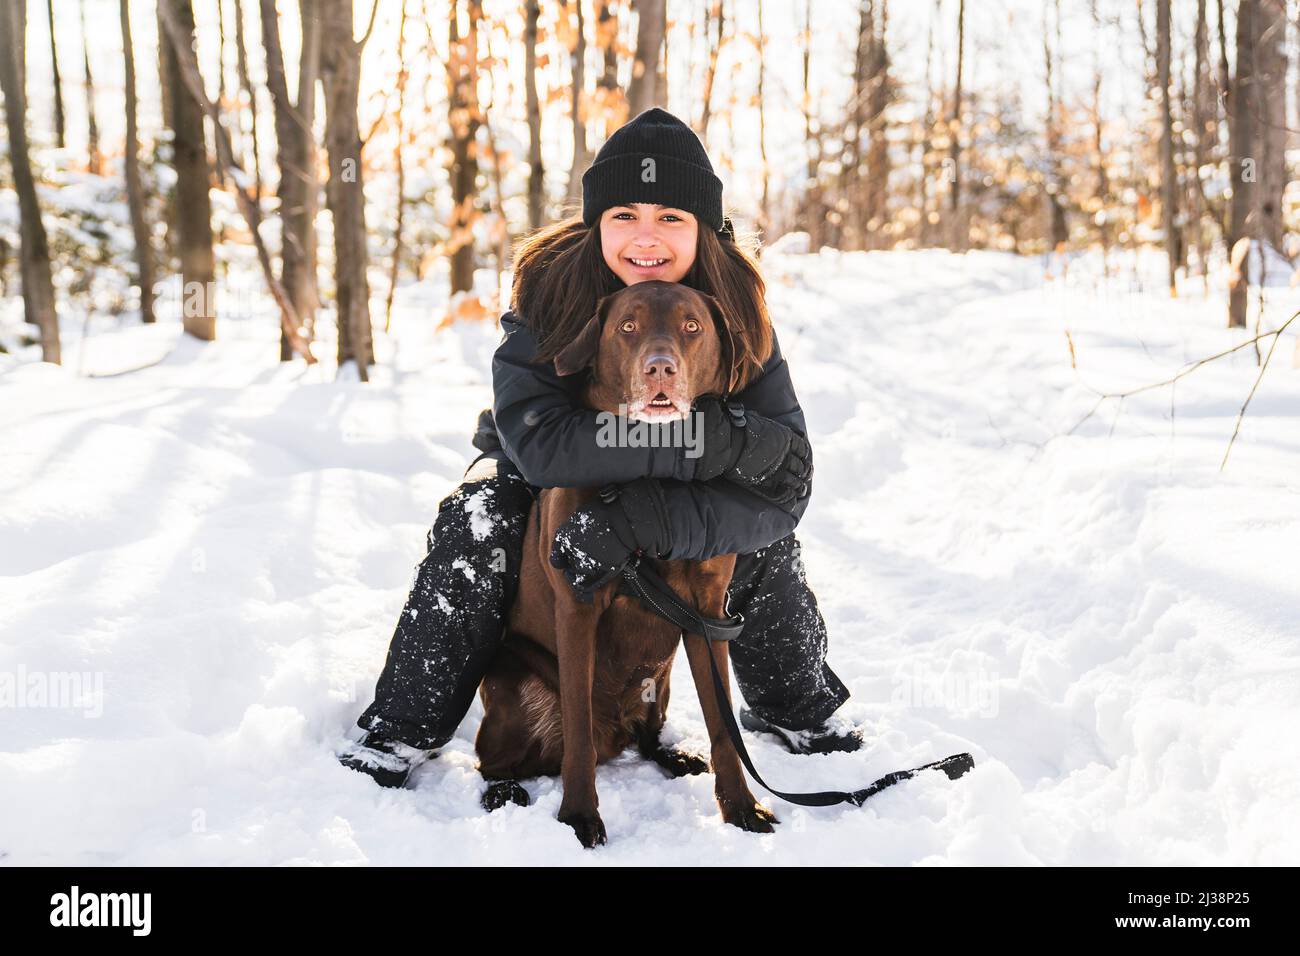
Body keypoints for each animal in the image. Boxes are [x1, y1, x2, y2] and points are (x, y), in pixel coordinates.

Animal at [478, 280, 780, 848]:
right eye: (628, 326)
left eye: (691, 326)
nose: (660, 368)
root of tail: (615, 734)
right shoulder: (578, 605)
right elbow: (576, 732)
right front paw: (579, 817)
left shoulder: (707, 612)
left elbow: (723, 727)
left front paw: (741, 807)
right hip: (510, 678)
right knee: (498, 759)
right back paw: (503, 791)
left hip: (658, 683)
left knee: (646, 735)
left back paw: (675, 755)